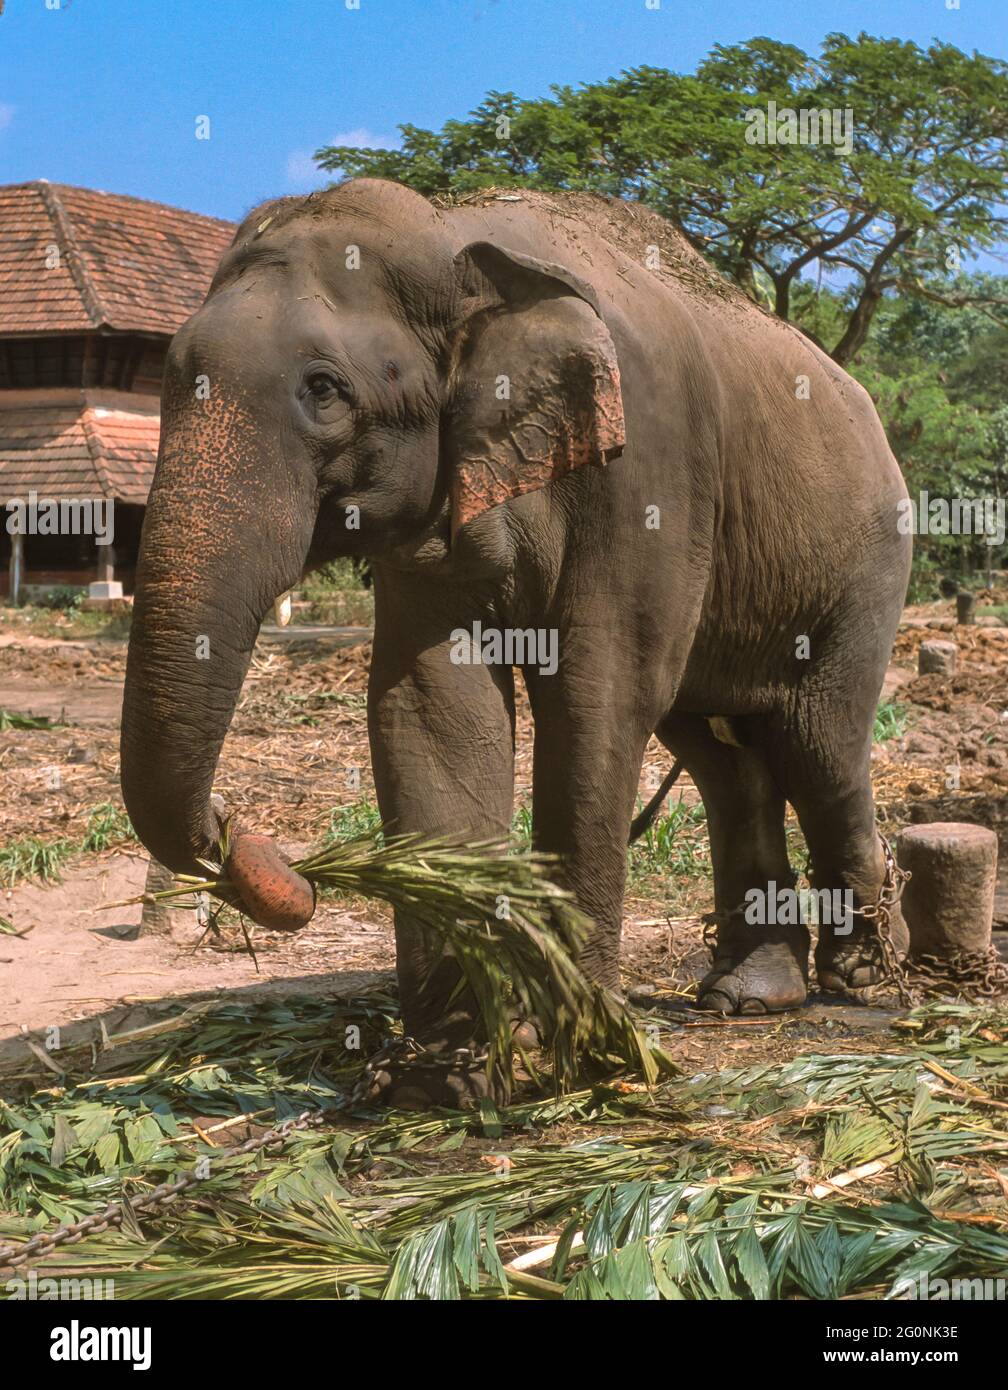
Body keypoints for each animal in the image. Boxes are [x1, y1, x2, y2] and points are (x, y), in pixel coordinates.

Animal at [120, 179, 912, 1100]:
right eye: (169, 376)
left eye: (323, 388)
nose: (246, 842)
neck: (457, 233)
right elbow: (430, 703)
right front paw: (452, 1066)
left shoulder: (649, 466)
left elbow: (599, 694)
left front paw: (572, 1048)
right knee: (724, 754)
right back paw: (749, 996)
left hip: (868, 558)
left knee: (814, 741)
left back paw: (862, 975)